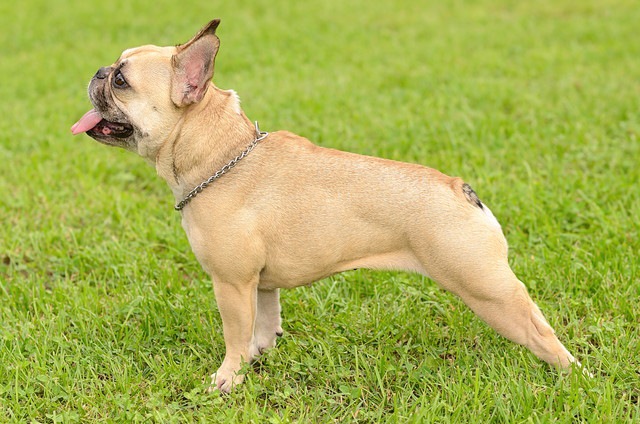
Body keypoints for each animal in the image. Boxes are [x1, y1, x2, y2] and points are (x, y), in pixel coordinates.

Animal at [72, 19, 584, 390]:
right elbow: (264, 324)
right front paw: (258, 358)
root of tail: (461, 189)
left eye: (121, 81)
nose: (97, 72)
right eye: (114, 69)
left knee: (542, 335)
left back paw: (573, 379)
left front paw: (227, 379)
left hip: (484, 286)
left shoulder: (231, 284)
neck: (220, 152)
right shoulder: (259, 283)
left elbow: (235, 334)